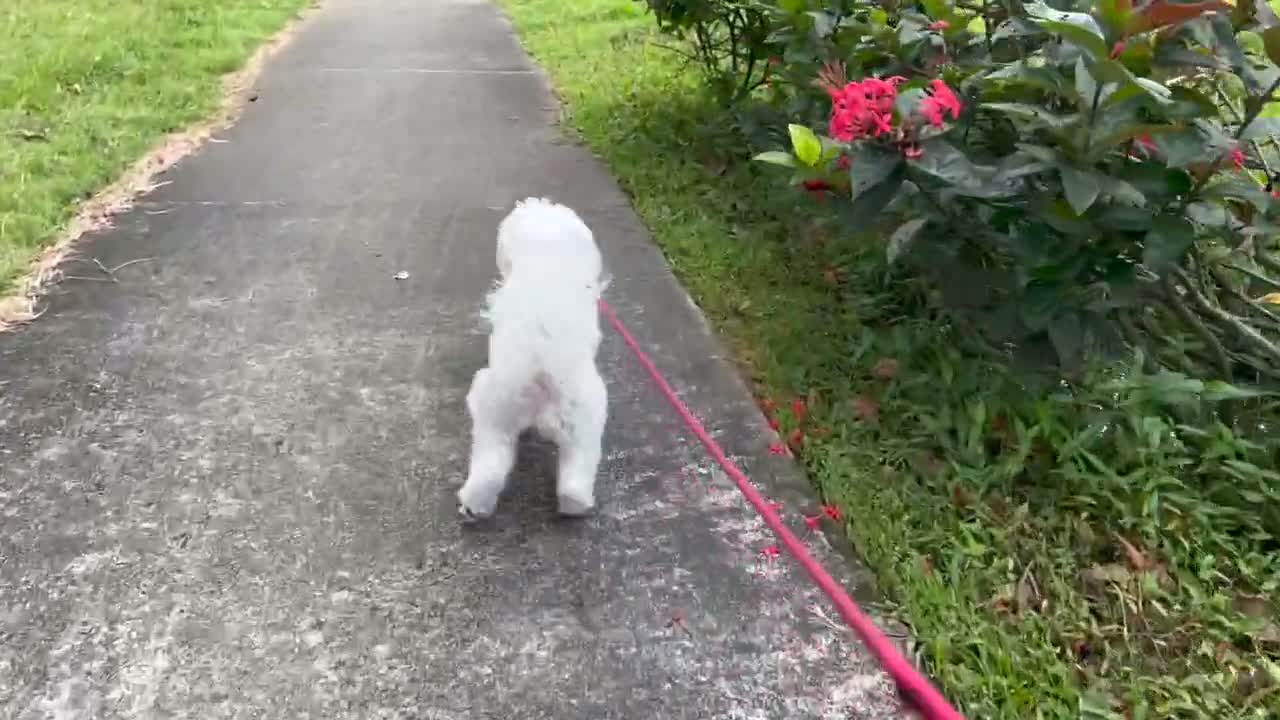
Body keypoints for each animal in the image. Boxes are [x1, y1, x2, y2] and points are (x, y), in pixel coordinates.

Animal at [460, 196, 609, 517]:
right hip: (582, 419)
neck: (549, 248)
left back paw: (474, 505)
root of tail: (542, 372)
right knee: (576, 473)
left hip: (495, 412)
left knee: (490, 466)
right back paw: (574, 504)